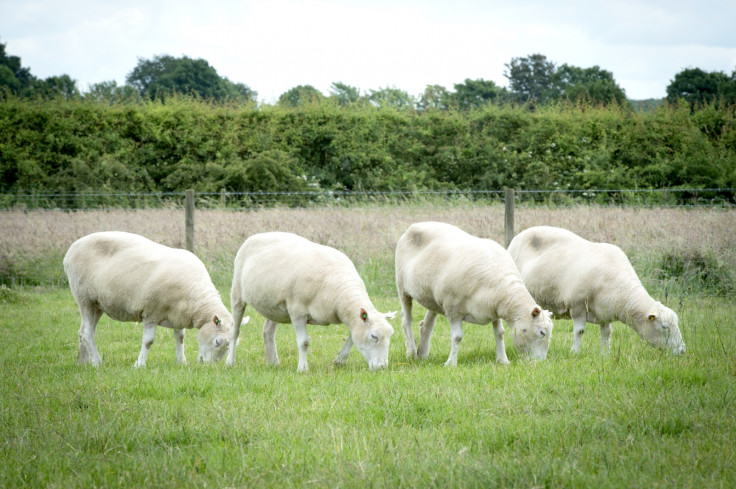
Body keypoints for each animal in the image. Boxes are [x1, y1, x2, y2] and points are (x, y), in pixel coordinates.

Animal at [65, 232, 239, 366]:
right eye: (217, 342)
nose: (209, 366)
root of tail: (72, 249)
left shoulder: (178, 315)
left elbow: (180, 338)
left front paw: (181, 361)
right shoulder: (151, 312)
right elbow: (148, 341)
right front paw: (139, 364)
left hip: (97, 304)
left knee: (84, 331)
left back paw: (83, 362)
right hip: (84, 298)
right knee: (87, 332)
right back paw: (97, 361)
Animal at [229, 231, 396, 372]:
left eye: (390, 336)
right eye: (374, 336)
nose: (382, 367)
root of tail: (258, 235)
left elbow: (352, 336)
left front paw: (340, 360)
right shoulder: (297, 312)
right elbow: (304, 342)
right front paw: (303, 369)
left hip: (274, 307)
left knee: (267, 332)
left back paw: (273, 363)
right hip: (237, 294)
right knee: (235, 331)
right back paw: (230, 362)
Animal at [396, 219, 552, 364]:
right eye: (542, 333)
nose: (540, 362)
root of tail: (416, 225)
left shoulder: (494, 309)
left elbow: (500, 333)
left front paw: (503, 360)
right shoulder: (453, 310)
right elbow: (457, 337)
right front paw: (451, 363)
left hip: (432, 299)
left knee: (426, 324)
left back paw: (422, 354)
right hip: (402, 287)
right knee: (406, 320)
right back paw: (411, 351)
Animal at [506, 225, 684, 354]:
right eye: (665, 327)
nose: (682, 351)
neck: (621, 291)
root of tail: (520, 235)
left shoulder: (605, 312)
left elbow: (607, 333)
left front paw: (605, 354)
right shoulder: (577, 306)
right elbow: (579, 331)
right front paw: (575, 352)